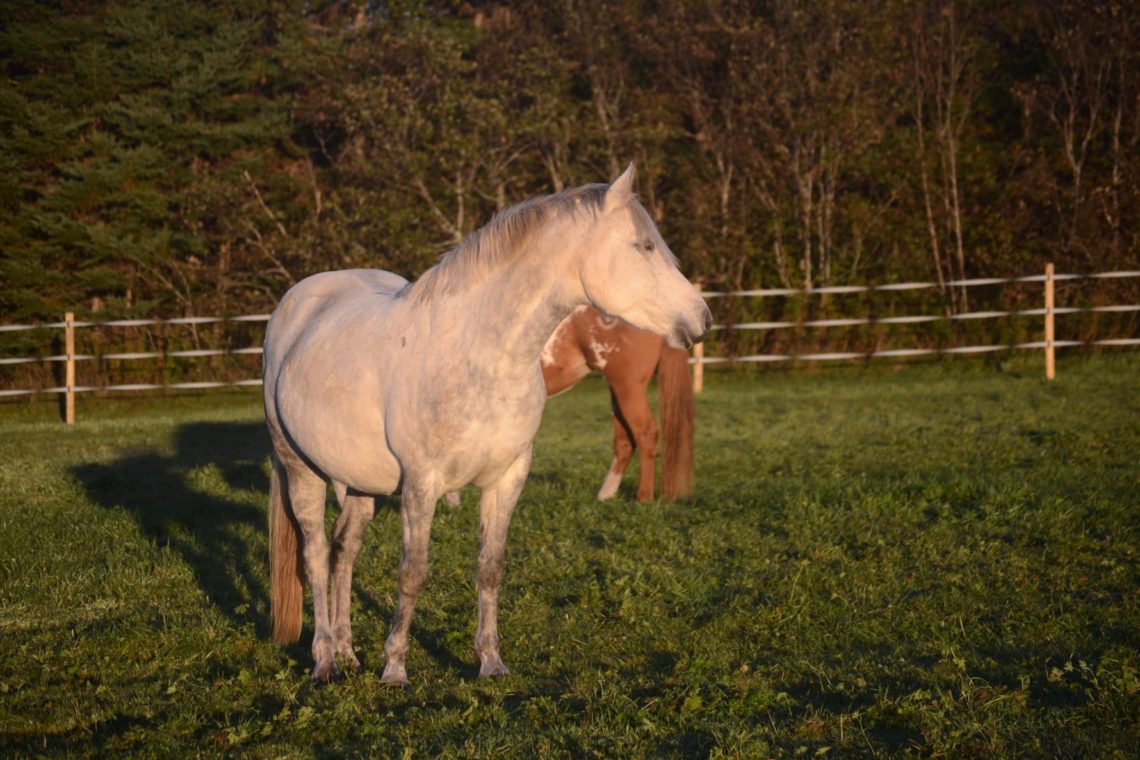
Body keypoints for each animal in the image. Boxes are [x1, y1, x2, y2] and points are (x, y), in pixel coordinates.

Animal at [541, 306, 695, 502]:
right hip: (617, 391)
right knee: (624, 440)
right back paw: (605, 496)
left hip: (628, 387)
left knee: (646, 433)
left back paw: (644, 498)